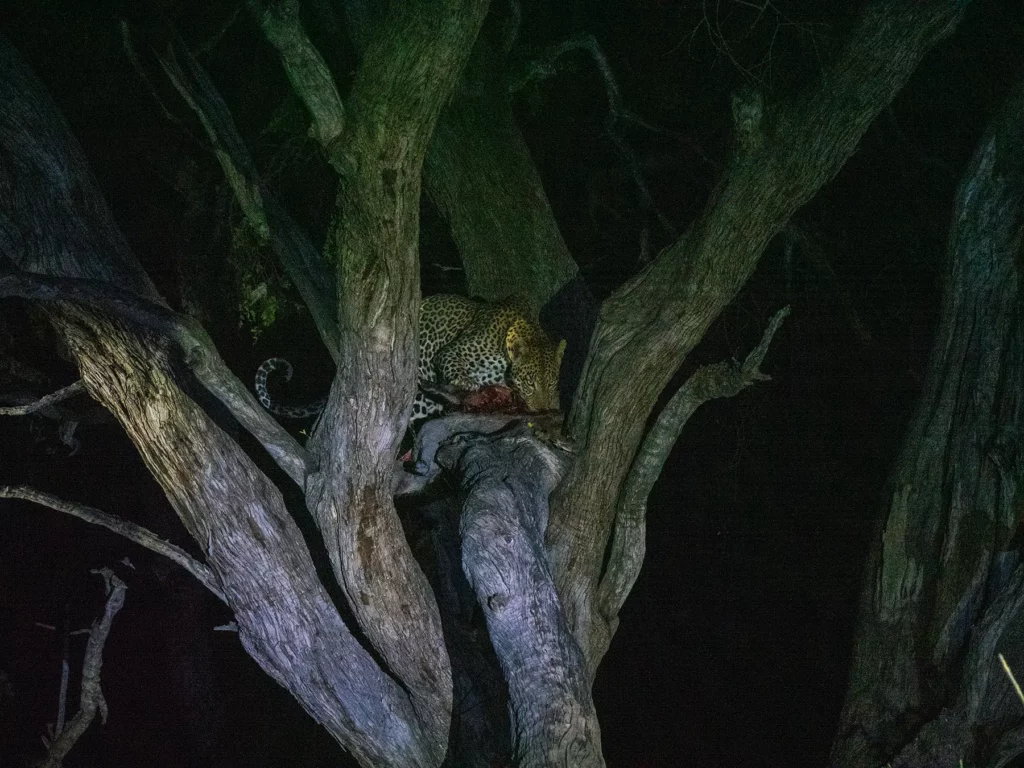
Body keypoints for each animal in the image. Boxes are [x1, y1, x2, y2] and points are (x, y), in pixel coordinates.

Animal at [255, 294, 566, 426]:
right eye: (530, 382)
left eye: (552, 384)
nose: (543, 410)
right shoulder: (451, 352)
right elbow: (458, 370)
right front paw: (469, 386)